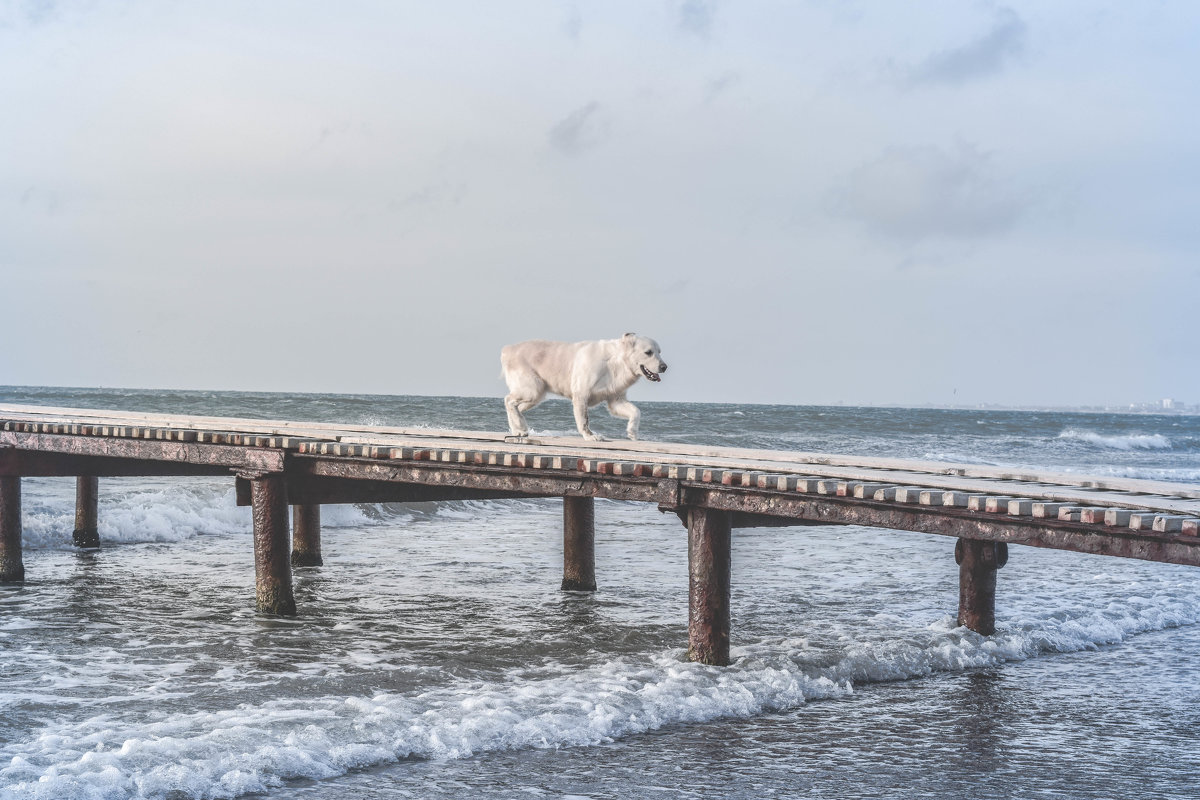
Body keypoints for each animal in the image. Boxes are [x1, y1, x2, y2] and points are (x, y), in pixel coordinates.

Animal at [496, 333, 667, 441]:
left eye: (659, 352)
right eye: (648, 352)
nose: (664, 367)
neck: (614, 363)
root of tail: (508, 349)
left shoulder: (616, 400)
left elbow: (636, 412)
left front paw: (632, 432)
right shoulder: (581, 395)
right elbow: (584, 420)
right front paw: (590, 436)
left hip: (536, 395)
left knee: (516, 407)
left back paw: (518, 429)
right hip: (532, 389)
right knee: (508, 400)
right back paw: (519, 426)